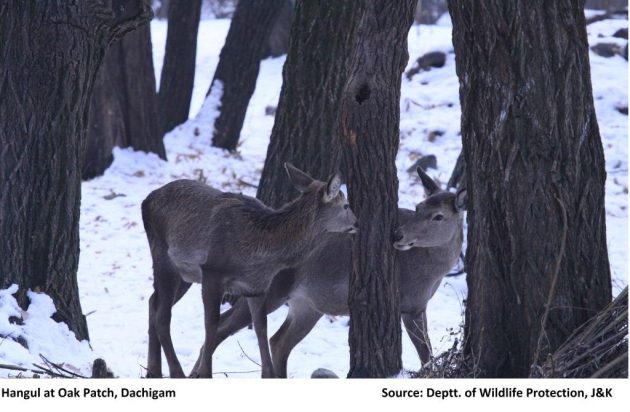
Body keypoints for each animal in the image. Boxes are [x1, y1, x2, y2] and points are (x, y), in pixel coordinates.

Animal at [144, 163, 360, 378]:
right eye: (346, 205)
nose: (357, 223)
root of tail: (147, 199)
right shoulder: (212, 271)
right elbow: (211, 325)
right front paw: (205, 374)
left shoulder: (257, 286)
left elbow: (261, 327)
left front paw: (268, 374)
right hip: (163, 255)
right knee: (164, 316)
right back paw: (177, 372)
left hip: (186, 276)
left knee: (153, 301)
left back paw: (153, 370)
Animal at [193, 166, 470, 378]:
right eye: (418, 206)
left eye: (438, 216)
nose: (398, 235)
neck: (431, 273)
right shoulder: (409, 304)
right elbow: (426, 354)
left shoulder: (419, 305)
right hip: (272, 289)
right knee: (224, 327)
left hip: (307, 305)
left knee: (277, 341)